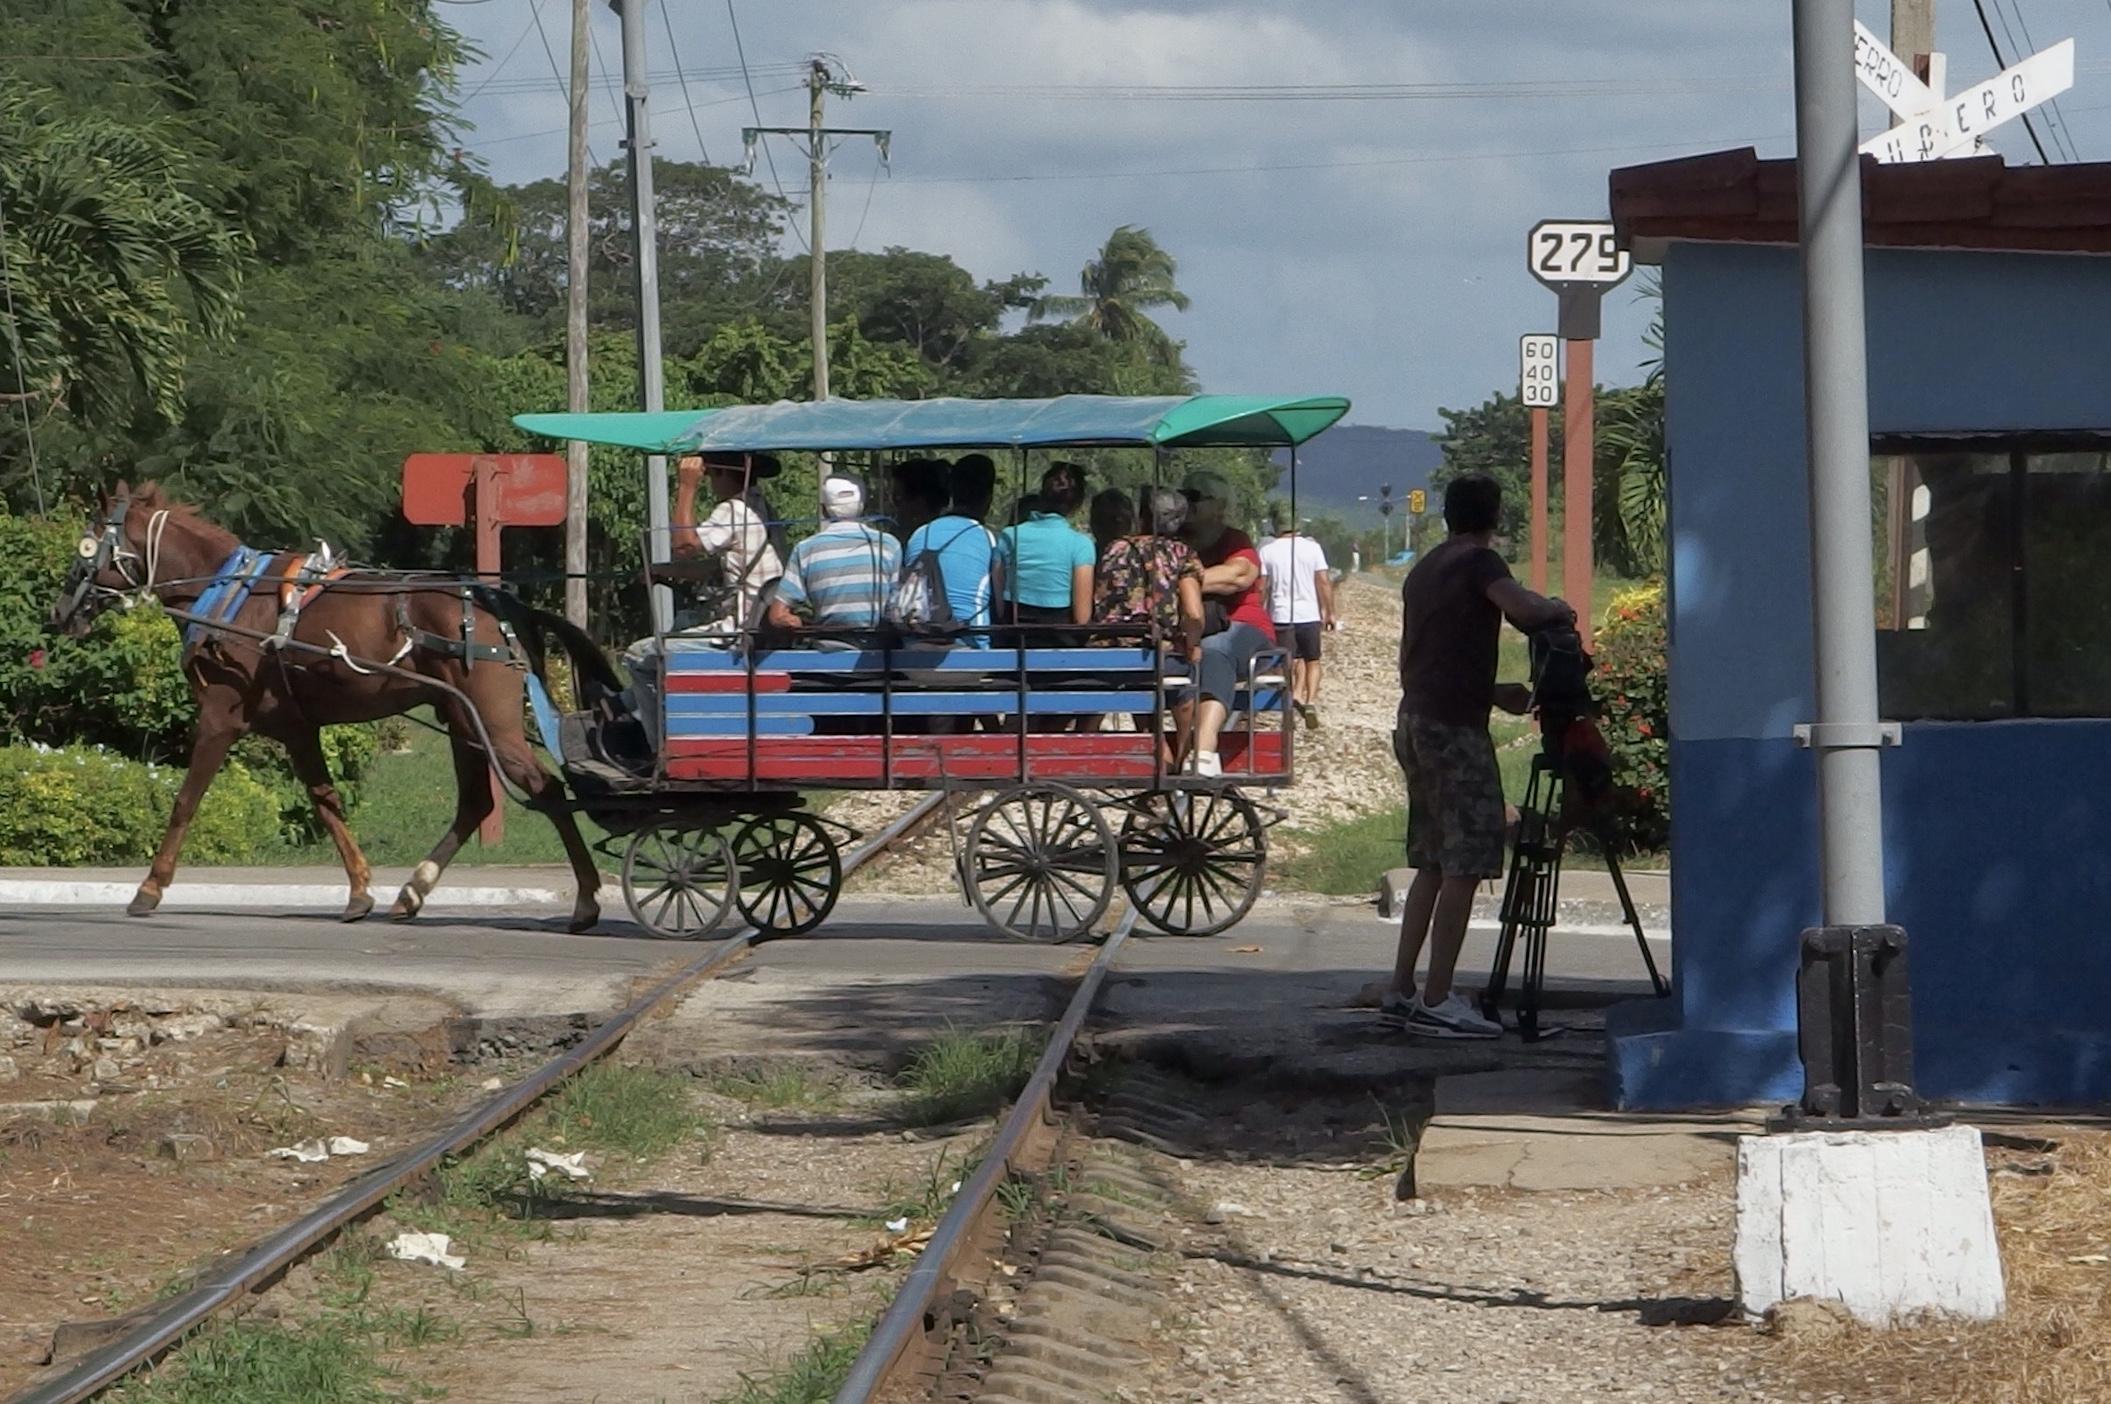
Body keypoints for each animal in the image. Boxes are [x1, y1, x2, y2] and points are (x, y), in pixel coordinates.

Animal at [45, 481, 616, 928]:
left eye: (86, 547)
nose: (61, 610)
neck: (226, 594)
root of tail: (507, 604)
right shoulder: (297, 727)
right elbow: (326, 801)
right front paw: (360, 890)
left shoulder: (219, 717)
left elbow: (185, 801)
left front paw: (150, 887)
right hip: (461, 718)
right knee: (477, 801)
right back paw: (413, 891)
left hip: (492, 722)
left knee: (546, 789)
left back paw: (587, 899)